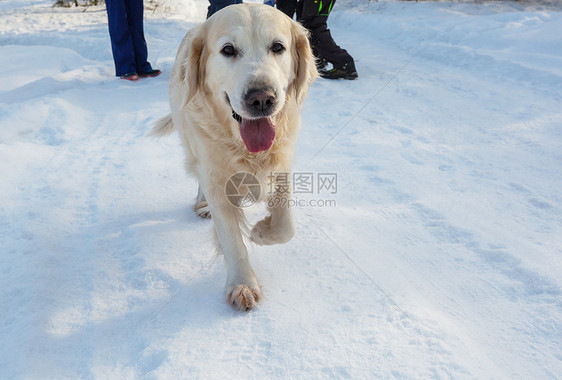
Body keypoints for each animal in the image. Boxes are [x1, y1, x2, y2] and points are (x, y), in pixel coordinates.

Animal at [151, 3, 318, 312]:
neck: (244, 148)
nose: (262, 99)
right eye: (228, 50)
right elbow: (232, 239)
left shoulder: (281, 165)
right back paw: (202, 204)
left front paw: (261, 232)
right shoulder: (216, 179)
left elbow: (286, 227)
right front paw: (243, 284)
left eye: (278, 47)